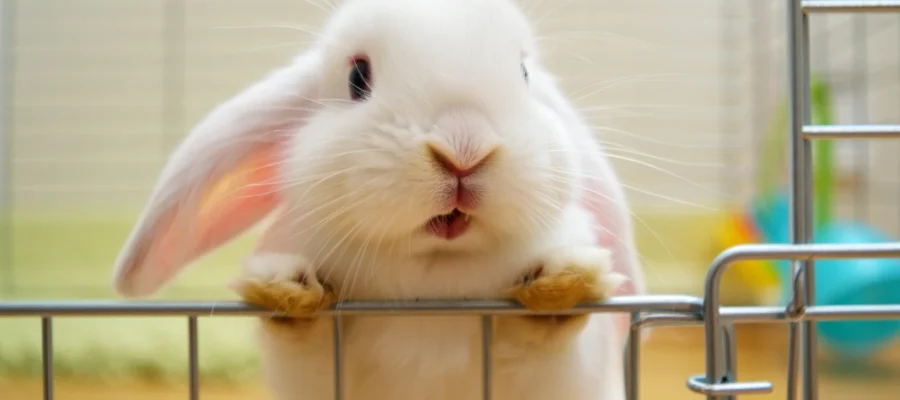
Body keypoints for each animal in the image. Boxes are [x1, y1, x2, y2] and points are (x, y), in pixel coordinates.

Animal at [110, 0, 646, 399]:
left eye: (523, 74)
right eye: (357, 78)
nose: (464, 150)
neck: (432, 287)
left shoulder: (554, 372)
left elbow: (544, 340)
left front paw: (564, 282)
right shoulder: (315, 372)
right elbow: (308, 344)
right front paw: (286, 290)